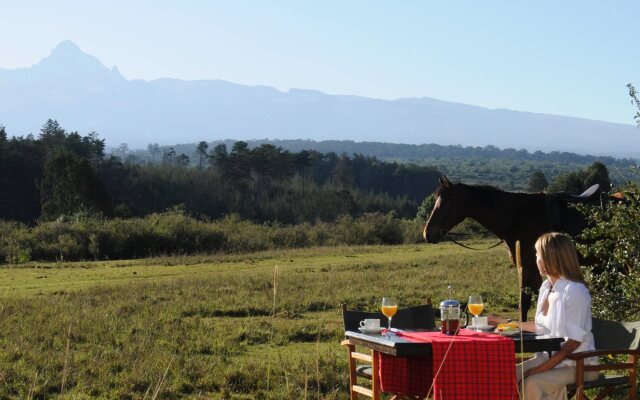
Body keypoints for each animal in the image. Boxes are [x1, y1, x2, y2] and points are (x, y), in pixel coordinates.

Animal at [424, 177, 600, 320]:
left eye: (446, 202)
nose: (428, 233)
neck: (520, 218)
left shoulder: (527, 267)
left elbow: (525, 302)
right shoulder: (531, 270)